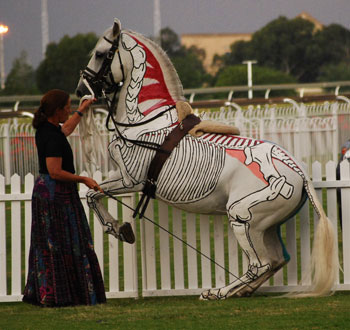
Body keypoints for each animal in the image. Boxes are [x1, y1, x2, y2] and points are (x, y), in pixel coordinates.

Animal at [76, 19, 340, 300]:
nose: (80, 90)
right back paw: (240, 291)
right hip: (266, 227)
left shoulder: (132, 180)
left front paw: (118, 228)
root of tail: (299, 174)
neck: (145, 122)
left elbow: (95, 192)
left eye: (100, 54)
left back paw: (218, 292)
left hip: (243, 217)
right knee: (277, 260)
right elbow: (92, 193)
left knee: (260, 264)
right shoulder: (121, 176)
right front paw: (119, 228)